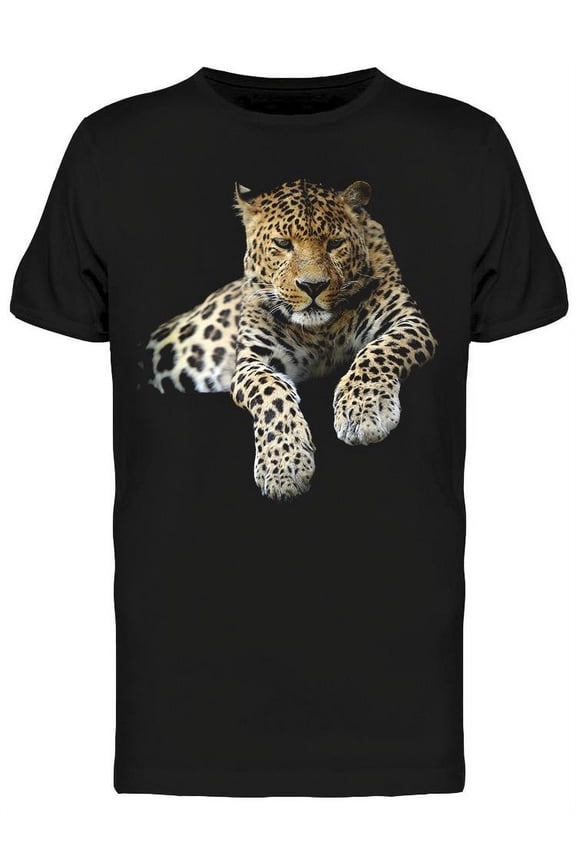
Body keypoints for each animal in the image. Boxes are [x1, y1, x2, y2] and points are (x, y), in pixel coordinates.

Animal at [147, 179, 437, 501]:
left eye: (334, 244)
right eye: (283, 244)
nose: (313, 286)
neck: (320, 331)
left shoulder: (409, 321)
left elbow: (378, 352)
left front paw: (362, 412)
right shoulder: (251, 362)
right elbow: (270, 392)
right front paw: (284, 468)